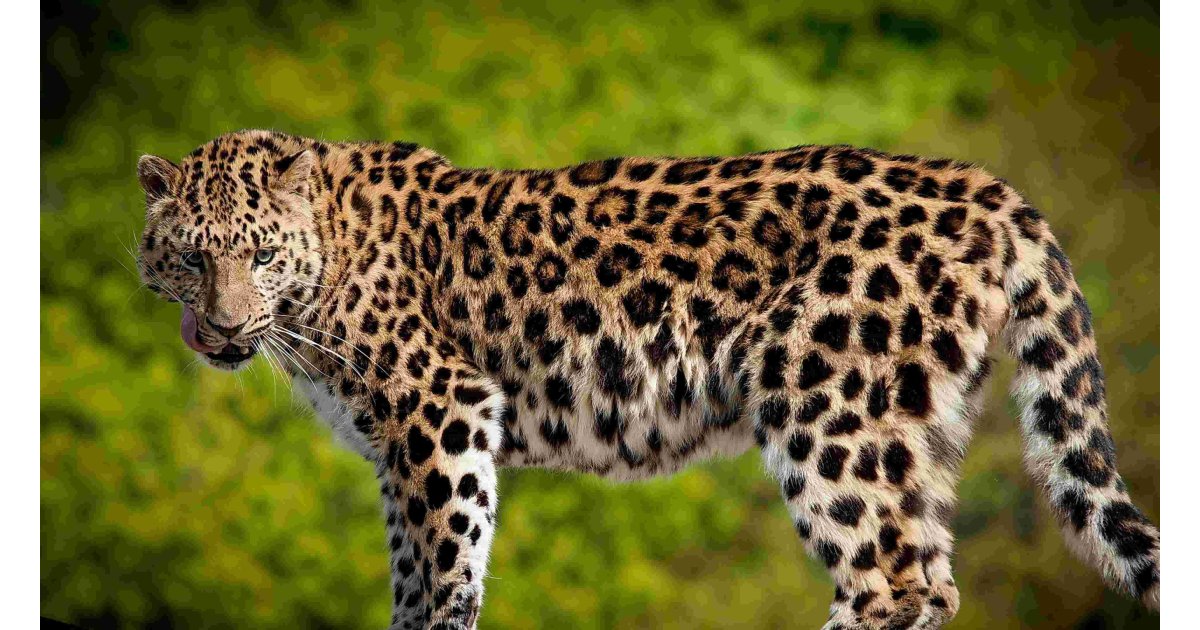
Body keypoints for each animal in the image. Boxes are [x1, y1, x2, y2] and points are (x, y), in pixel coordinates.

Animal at [135, 129, 1160, 629]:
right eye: (191, 259)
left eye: (262, 257)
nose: (221, 327)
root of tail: (988, 189)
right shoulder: (396, 446)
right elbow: (409, 573)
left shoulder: (440, 409)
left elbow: (448, 567)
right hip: (916, 429)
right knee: (933, 578)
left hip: (826, 407)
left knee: (891, 581)